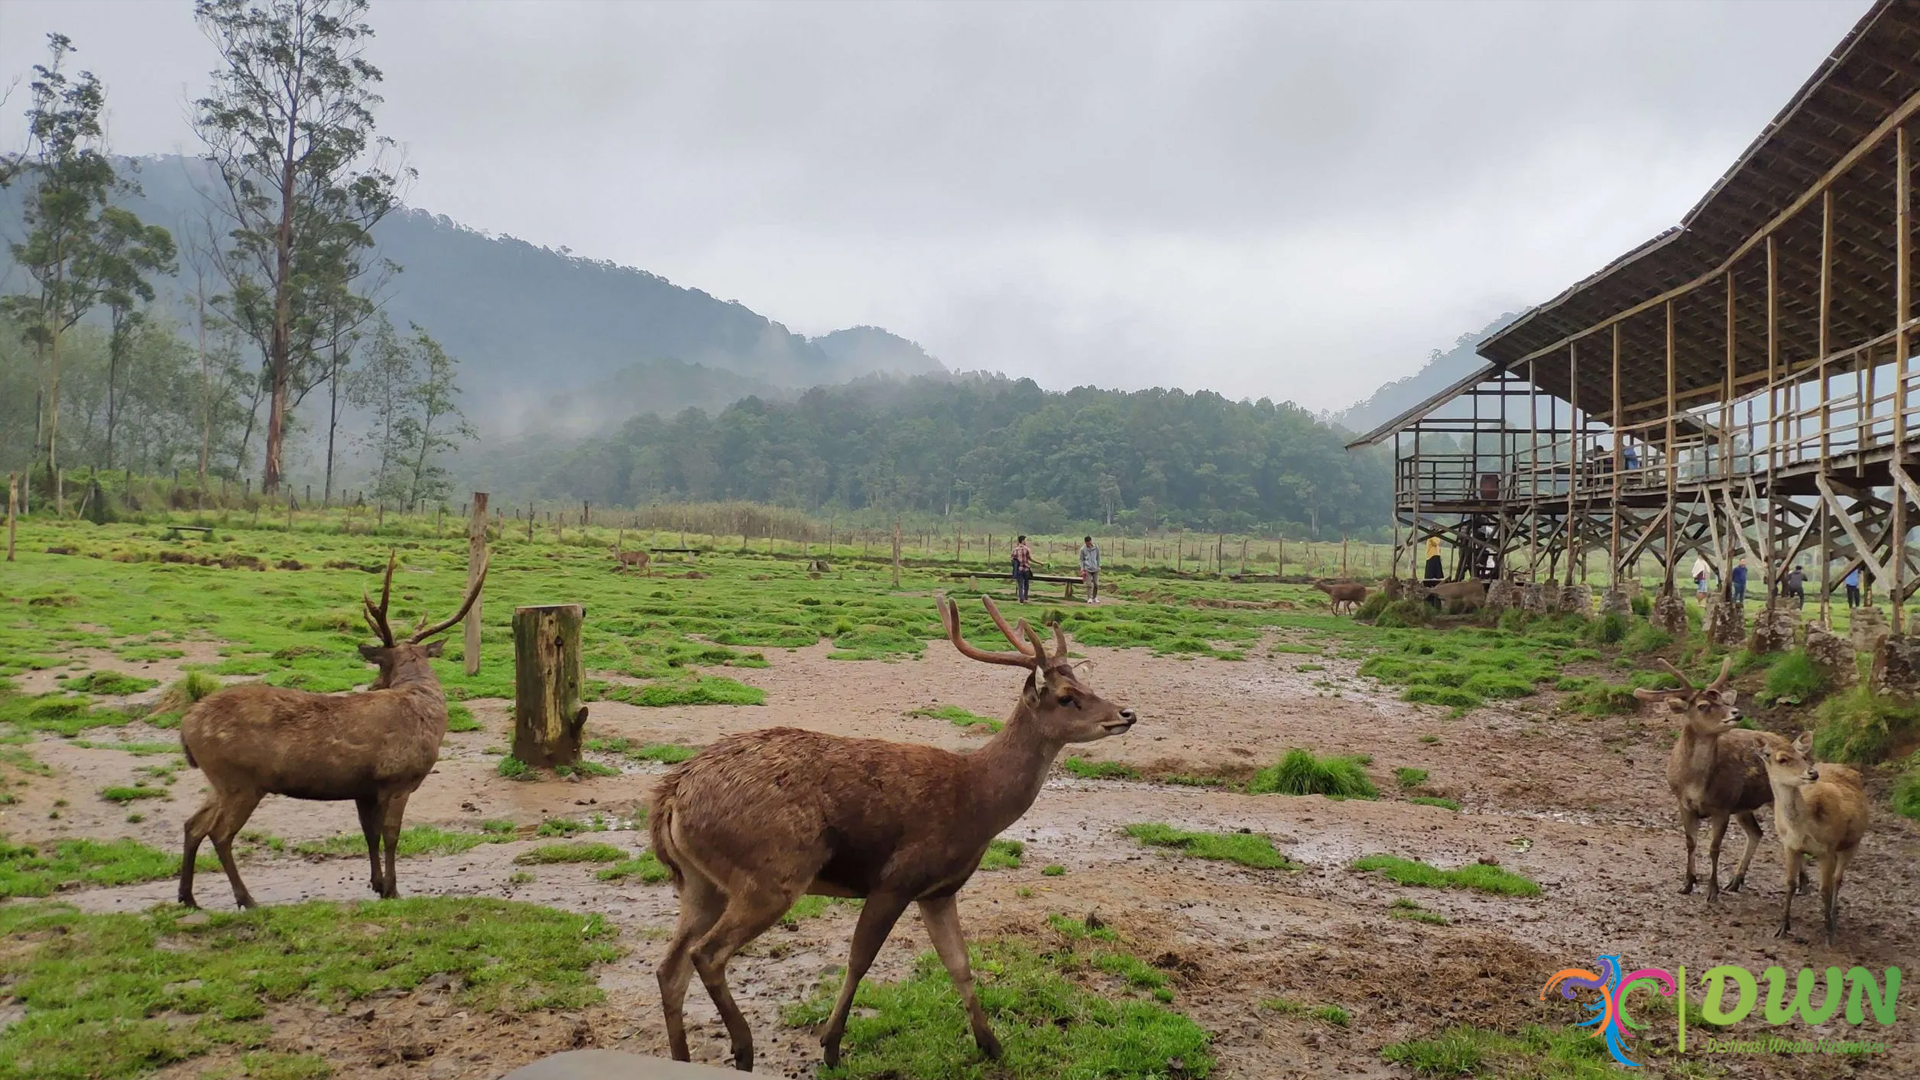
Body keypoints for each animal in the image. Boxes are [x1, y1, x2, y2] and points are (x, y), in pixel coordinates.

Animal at [652, 591, 1128, 1068]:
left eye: (1087, 686)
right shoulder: (897, 878)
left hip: (702, 884)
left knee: (669, 967)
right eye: (1066, 697)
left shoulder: (938, 890)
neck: (976, 804)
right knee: (706, 954)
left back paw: (683, 1056)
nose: (1126, 713)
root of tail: (671, 796)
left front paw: (991, 1046)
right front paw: (831, 1046)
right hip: (771, 874)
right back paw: (744, 1047)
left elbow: (959, 964)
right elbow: (860, 959)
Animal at [1628, 657, 1789, 899]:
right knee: (1757, 833)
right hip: (1743, 807)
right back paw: (1736, 881)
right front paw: (1687, 884)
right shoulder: (1683, 803)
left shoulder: (1722, 806)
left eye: (1723, 700)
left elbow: (1714, 847)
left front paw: (1712, 891)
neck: (1695, 784)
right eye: (1703, 706)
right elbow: (1690, 842)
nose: (1736, 713)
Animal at [1758, 730, 1866, 941]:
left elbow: (1825, 889)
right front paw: (1782, 928)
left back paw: (1834, 917)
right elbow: (1790, 883)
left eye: (1804, 757)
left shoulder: (1828, 848)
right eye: (1782, 759)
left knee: (1837, 879)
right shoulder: (1789, 845)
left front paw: (1829, 934)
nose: (1812, 773)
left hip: (1853, 843)